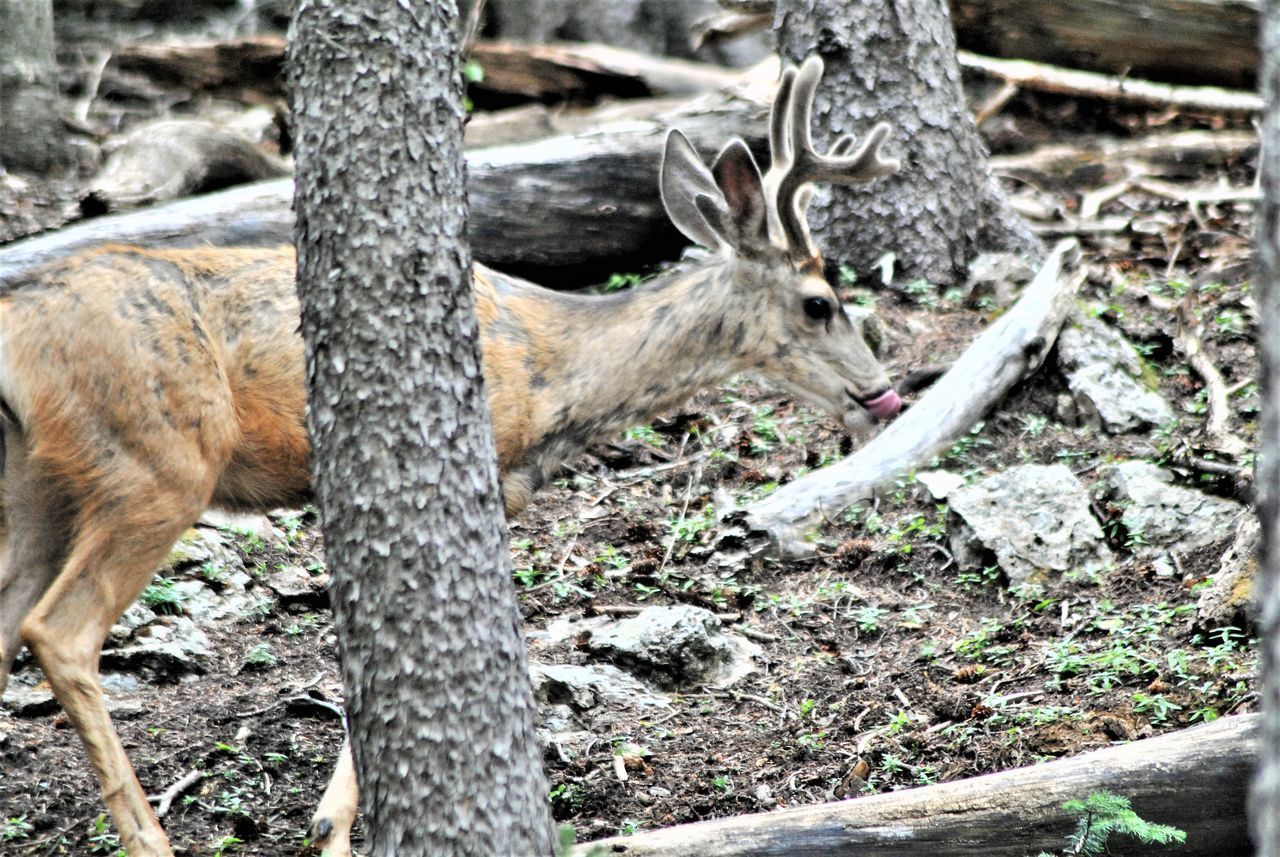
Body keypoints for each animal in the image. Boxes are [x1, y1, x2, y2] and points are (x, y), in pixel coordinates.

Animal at [0, 56, 901, 854]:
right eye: (819, 303)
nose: (883, 392)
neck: (556, 373)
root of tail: (20, 332)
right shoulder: (475, 475)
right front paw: (332, 827)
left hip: (40, 484)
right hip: (154, 459)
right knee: (62, 631)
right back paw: (149, 837)